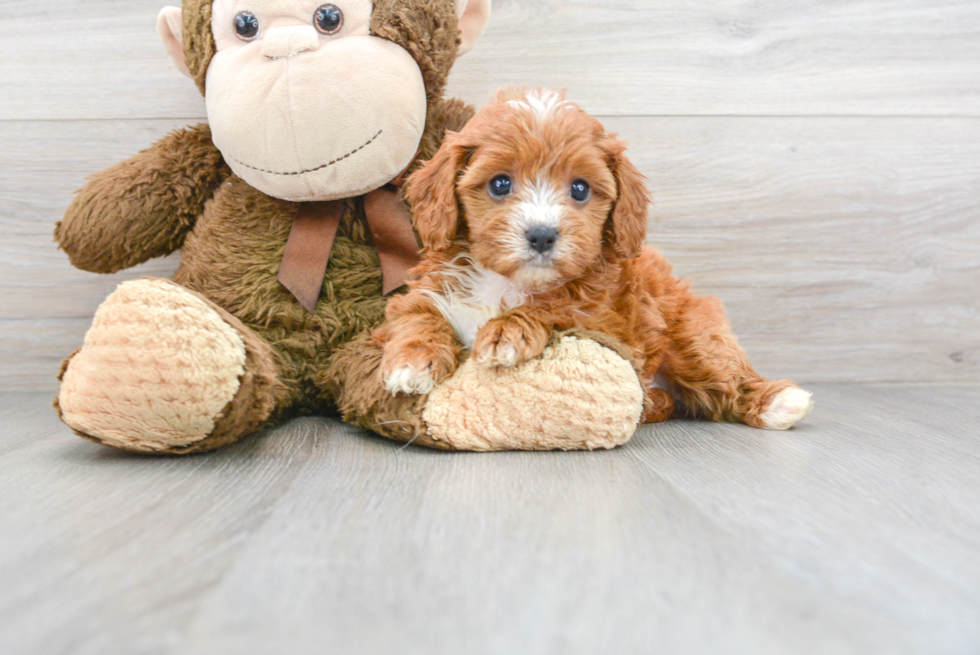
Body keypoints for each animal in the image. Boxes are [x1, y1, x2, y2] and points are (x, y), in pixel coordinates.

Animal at [374, 89, 812, 430]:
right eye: (500, 184)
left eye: (580, 189)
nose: (542, 235)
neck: (508, 283)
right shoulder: (428, 293)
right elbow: (417, 317)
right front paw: (411, 362)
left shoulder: (604, 320)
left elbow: (553, 307)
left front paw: (507, 332)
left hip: (692, 334)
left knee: (724, 373)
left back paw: (777, 403)